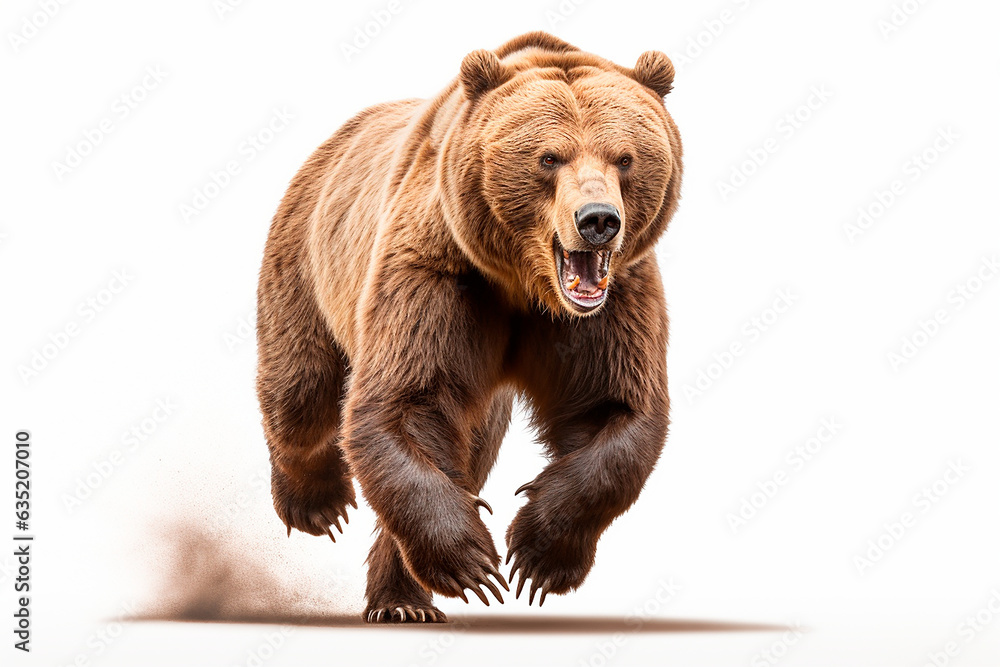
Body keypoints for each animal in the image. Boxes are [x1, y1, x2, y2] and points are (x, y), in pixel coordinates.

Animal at [256, 31, 682, 623]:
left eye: (624, 157)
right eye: (549, 157)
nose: (598, 220)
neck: (526, 286)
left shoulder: (616, 299)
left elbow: (614, 410)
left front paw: (537, 554)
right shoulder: (439, 271)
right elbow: (404, 401)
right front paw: (472, 561)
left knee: (471, 449)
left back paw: (403, 601)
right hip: (309, 252)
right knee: (302, 390)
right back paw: (317, 505)